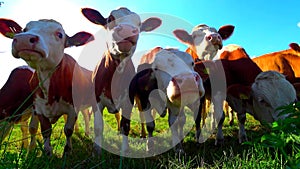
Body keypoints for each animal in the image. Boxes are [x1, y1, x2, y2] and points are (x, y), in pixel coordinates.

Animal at [0, 17, 94, 156]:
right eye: (24, 29)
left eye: (59, 34)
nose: (24, 38)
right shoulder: (38, 108)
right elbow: (43, 129)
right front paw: (45, 151)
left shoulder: (73, 107)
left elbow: (68, 129)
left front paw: (67, 151)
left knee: (88, 117)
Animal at [80, 7, 162, 154]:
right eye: (110, 19)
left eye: (139, 24)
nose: (127, 30)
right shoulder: (96, 101)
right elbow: (98, 127)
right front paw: (97, 149)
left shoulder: (128, 101)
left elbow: (126, 126)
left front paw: (125, 150)